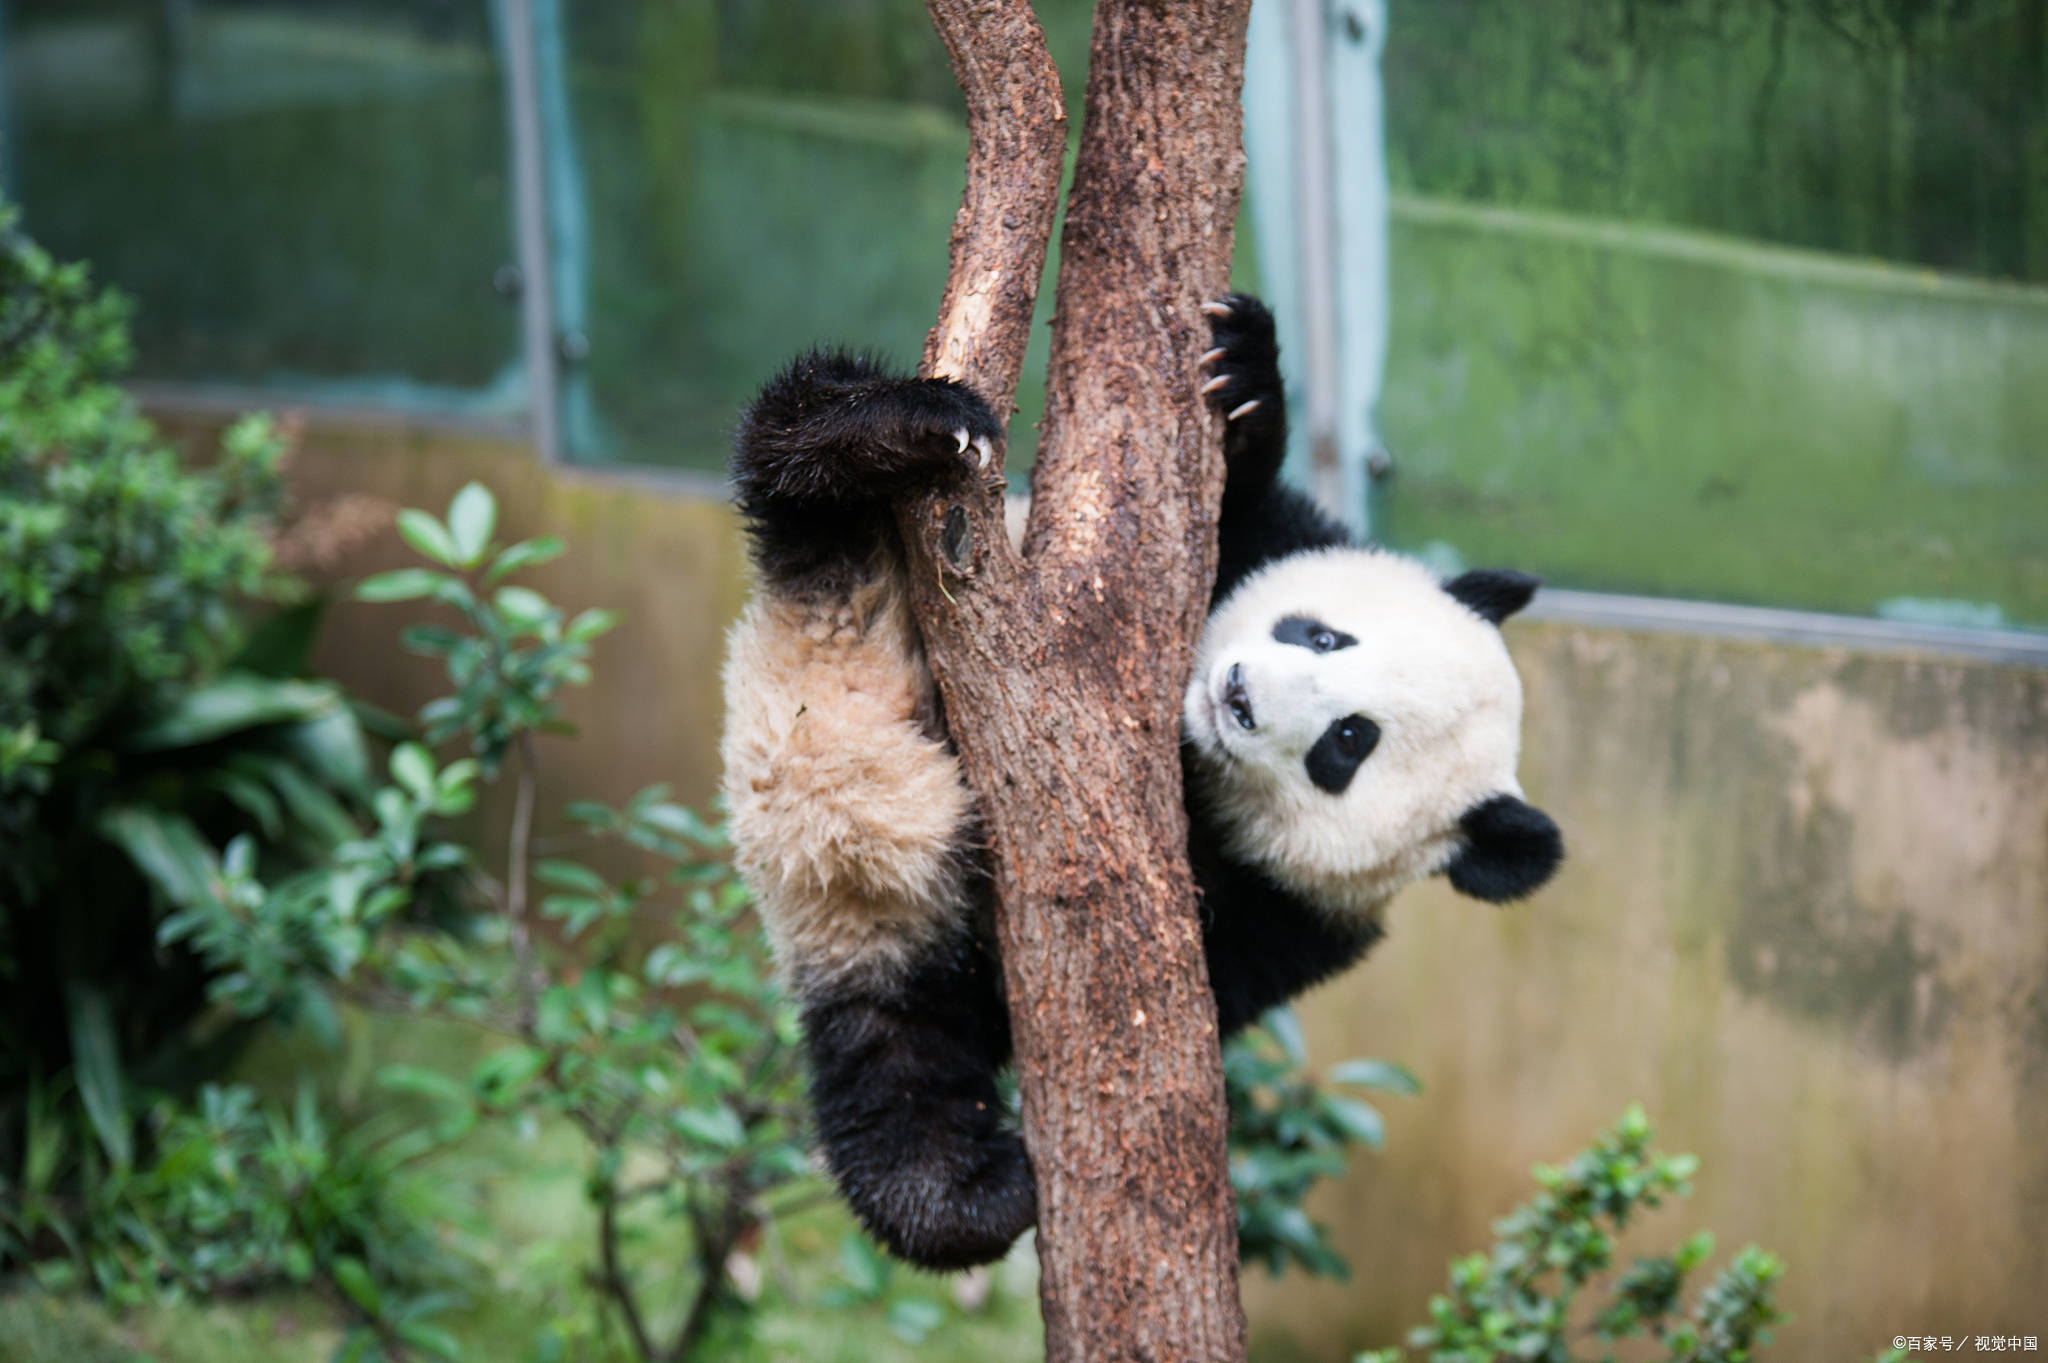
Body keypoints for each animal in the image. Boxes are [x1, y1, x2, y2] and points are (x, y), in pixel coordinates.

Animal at [716, 294, 1548, 1260]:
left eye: (1349, 741)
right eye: (1322, 635)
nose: (1239, 696)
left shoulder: (1295, 917)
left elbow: (1223, 951)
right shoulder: (1260, 539)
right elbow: (1243, 501)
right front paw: (1240, 372)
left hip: (892, 951)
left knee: (897, 1089)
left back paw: (978, 1191)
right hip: (833, 581)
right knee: (795, 441)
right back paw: (900, 428)